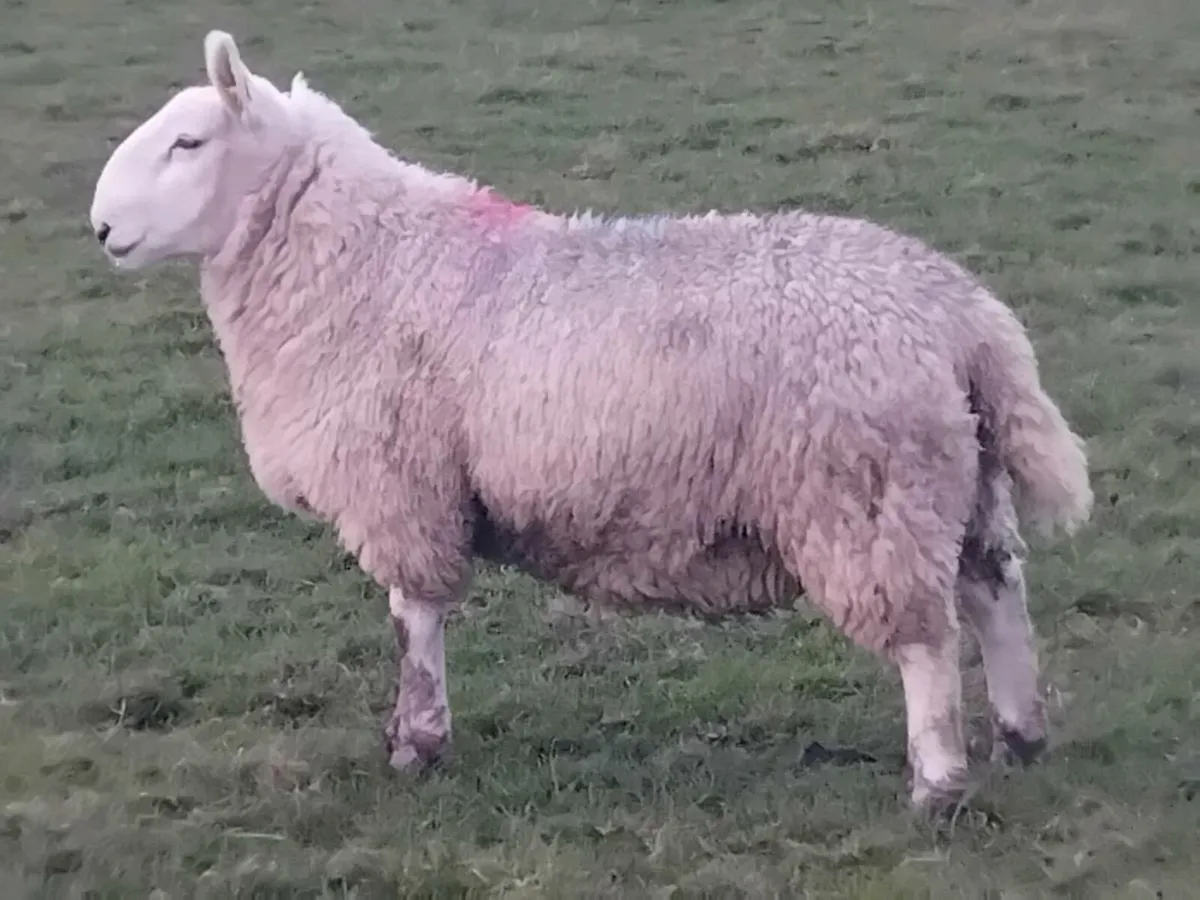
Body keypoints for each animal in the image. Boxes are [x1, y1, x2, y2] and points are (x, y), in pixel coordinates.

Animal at [88, 29, 1093, 814]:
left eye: (188, 141)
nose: (99, 227)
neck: (367, 259)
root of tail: (963, 317)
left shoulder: (400, 484)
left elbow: (413, 621)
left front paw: (417, 742)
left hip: (867, 491)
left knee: (926, 638)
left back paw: (938, 784)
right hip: (958, 477)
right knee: (996, 589)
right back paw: (1022, 735)